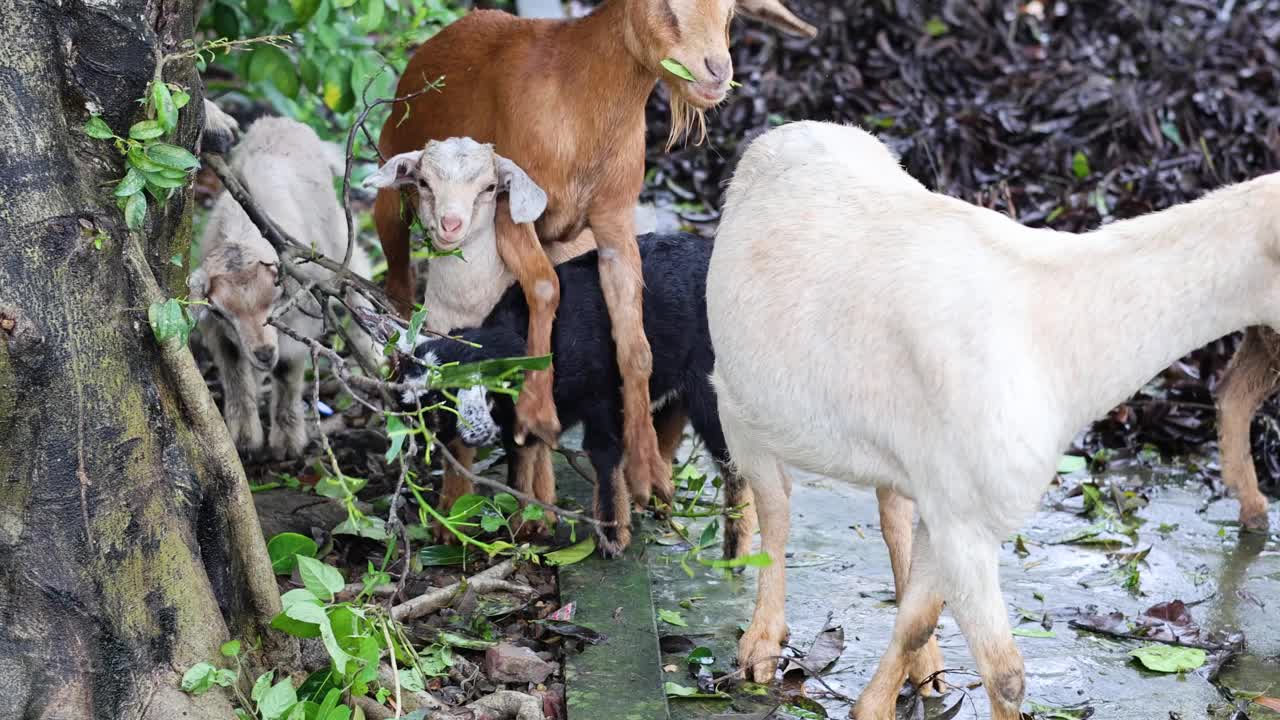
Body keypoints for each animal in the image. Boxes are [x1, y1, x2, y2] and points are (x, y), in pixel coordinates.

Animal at [190, 114, 373, 456]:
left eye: (275, 297)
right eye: (221, 311)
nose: (263, 353)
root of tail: (280, 120)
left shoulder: (301, 318)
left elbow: (287, 371)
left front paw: (287, 442)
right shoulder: (219, 332)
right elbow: (234, 371)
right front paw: (244, 438)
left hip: (333, 230)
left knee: (357, 268)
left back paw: (371, 350)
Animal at [371, 0, 814, 509]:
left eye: (731, 15)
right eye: (663, 7)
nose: (718, 72)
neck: (579, 109)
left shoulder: (615, 223)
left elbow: (634, 341)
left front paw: (646, 471)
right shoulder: (511, 216)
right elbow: (546, 288)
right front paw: (535, 411)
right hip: (391, 194)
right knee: (399, 284)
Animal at [404, 233, 752, 558]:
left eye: (439, 406)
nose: (411, 445)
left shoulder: (602, 399)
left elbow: (602, 452)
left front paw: (612, 537)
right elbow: (525, 461)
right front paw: (532, 523)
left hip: (711, 384)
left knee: (731, 459)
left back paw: (734, 550)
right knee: (666, 431)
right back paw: (656, 497)